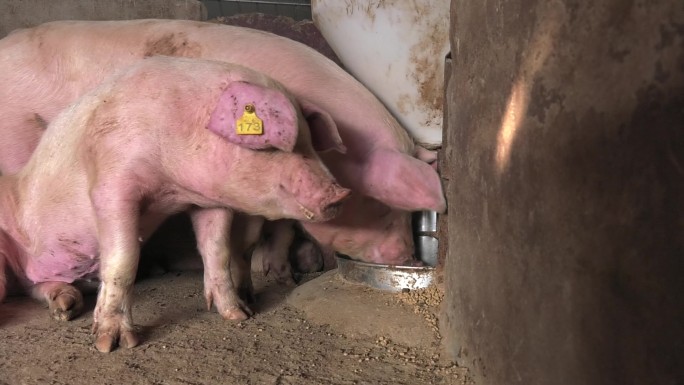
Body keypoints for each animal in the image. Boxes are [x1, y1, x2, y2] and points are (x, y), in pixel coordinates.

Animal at [0, 56, 348, 352]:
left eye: (309, 142)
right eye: (273, 144)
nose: (342, 193)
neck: (173, 186)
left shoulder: (209, 201)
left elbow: (217, 251)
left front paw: (239, 315)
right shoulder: (111, 184)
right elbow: (123, 259)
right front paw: (112, 344)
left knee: (37, 286)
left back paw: (66, 305)